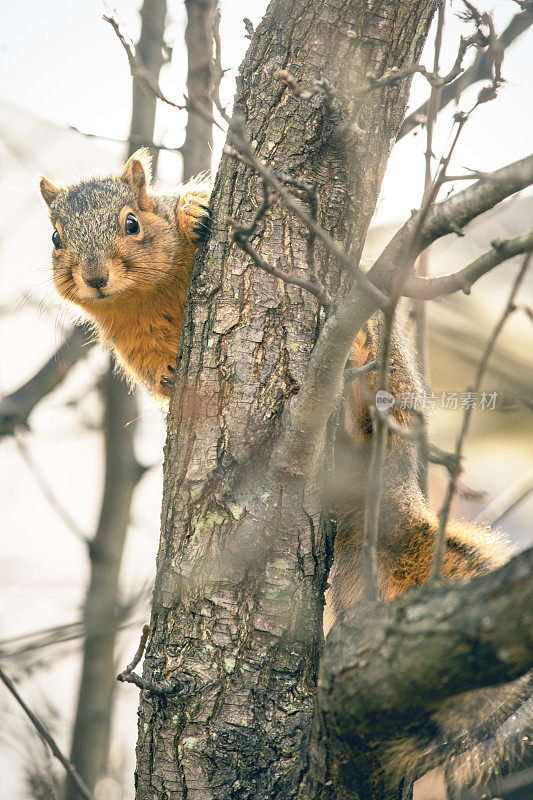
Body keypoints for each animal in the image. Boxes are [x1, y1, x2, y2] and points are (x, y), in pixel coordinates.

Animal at [40, 153, 528, 792]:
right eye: (55, 238)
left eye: (131, 223)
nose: (95, 278)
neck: (143, 294)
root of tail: (392, 488)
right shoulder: (130, 343)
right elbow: (158, 375)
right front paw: (171, 376)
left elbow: (190, 206)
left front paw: (194, 210)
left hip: (394, 377)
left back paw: (360, 365)